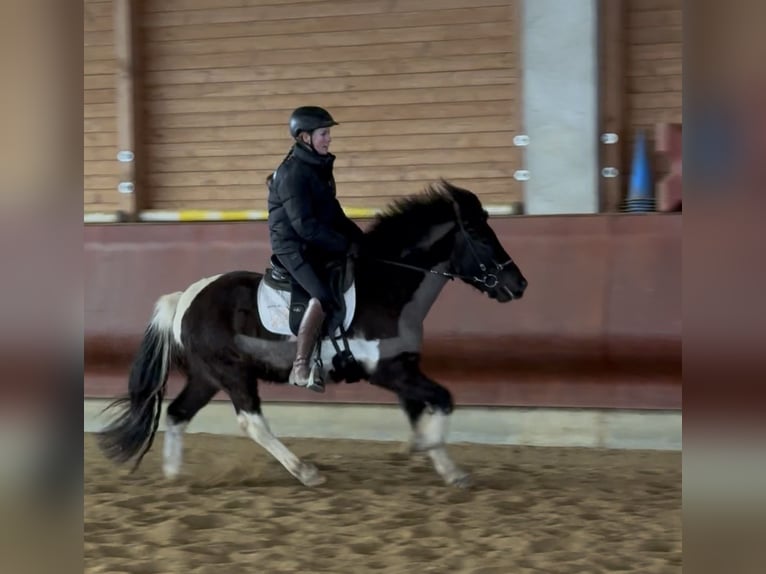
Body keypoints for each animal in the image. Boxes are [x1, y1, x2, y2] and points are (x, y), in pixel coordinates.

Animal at [96, 180, 528, 488]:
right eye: (481, 236)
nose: (519, 285)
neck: (387, 287)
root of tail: (185, 298)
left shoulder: (403, 369)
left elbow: (423, 411)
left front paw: (445, 466)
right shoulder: (389, 372)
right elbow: (443, 399)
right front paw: (431, 452)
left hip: (207, 376)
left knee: (177, 414)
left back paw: (174, 476)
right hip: (233, 373)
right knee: (252, 421)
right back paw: (305, 471)